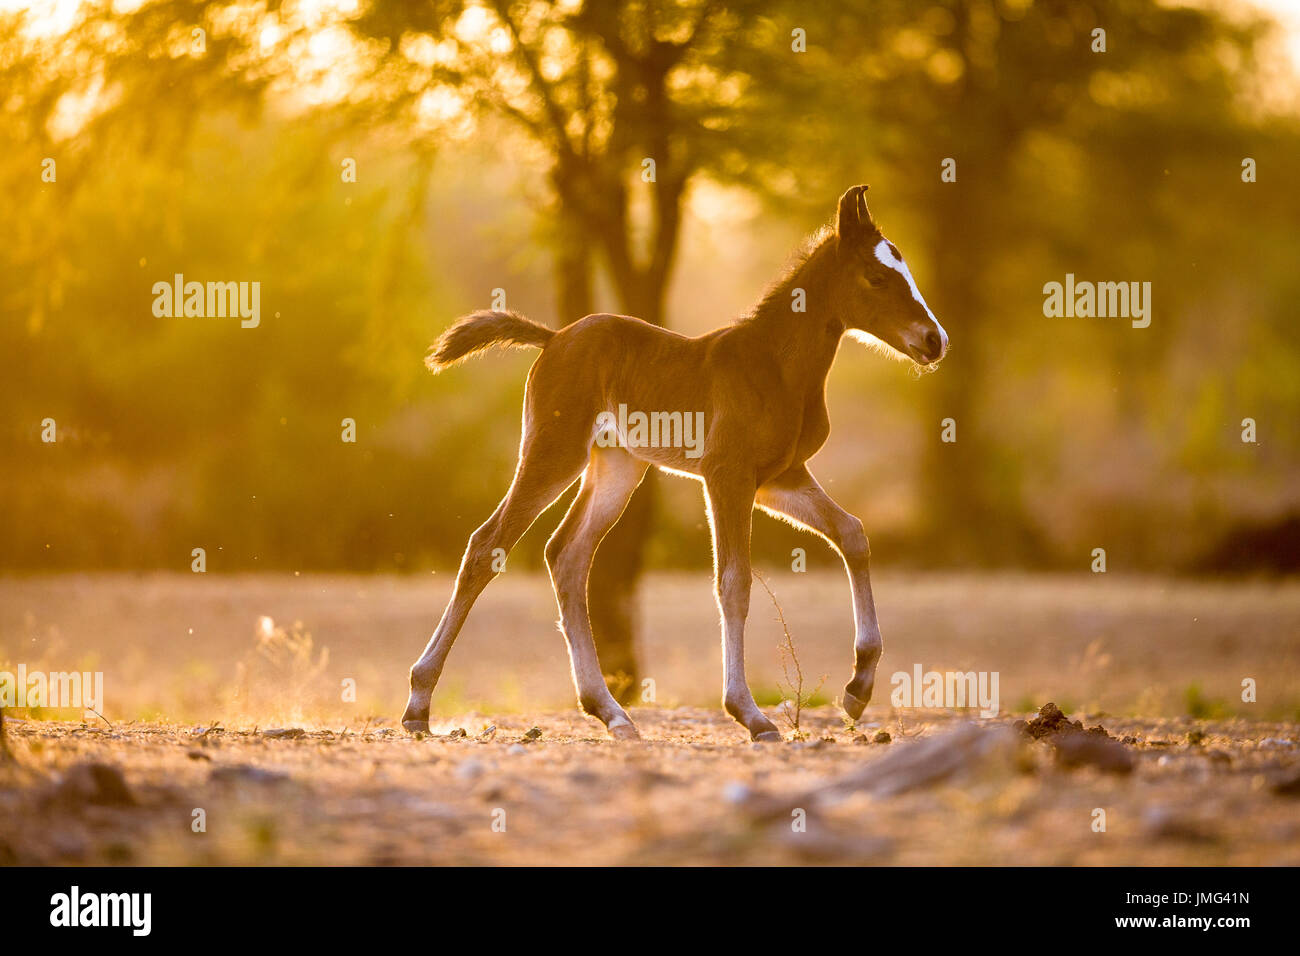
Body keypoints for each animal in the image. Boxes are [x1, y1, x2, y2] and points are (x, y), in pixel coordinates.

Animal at [400, 184, 951, 738]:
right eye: (876, 277)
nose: (935, 341)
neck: (776, 366)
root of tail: (554, 337)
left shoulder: (780, 479)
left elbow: (852, 534)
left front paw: (858, 689)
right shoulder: (727, 476)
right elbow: (734, 583)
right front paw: (749, 713)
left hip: (617, 467)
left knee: (566, 556)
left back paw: (610, 711)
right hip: (554, 451)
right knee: (487, 544)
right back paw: (419, 704)